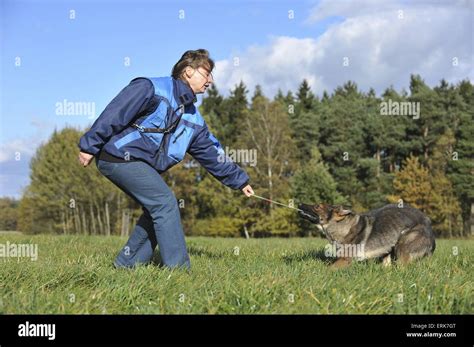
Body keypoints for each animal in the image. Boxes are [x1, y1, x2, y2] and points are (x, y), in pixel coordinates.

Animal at [298, 204, 436, 270]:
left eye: (317, 206)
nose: (299, 204)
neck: (343, 227)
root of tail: (429, 224)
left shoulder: (345, 260)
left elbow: (327, 269)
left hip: (402, 245)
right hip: (389, 249)